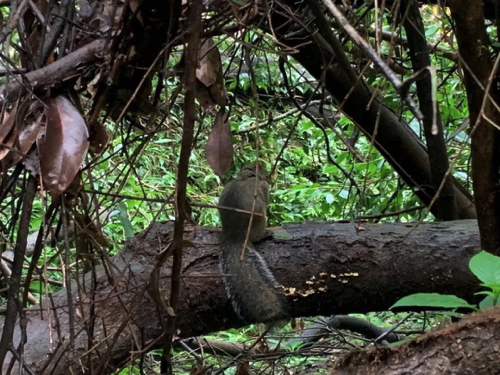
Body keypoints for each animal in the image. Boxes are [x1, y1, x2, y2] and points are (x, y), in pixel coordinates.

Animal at [217, 163, 288, 324]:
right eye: (260, 167)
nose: (266, 168)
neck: (247, 176)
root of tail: (235, 236)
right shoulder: (263, 187)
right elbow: (267, 197)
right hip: (261, 218)